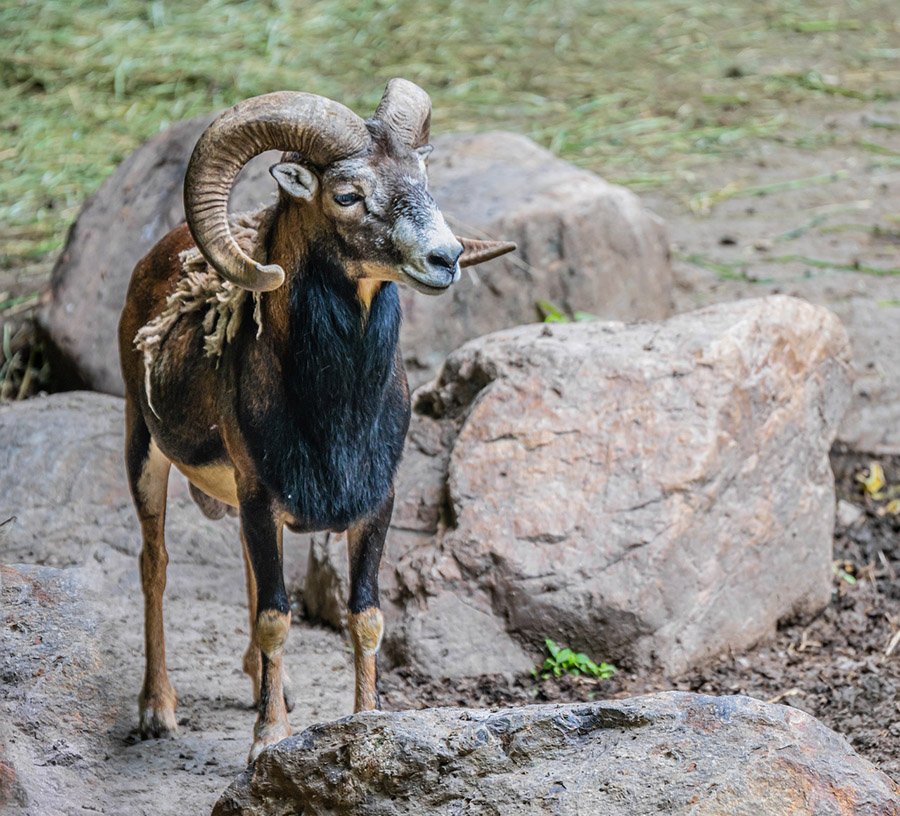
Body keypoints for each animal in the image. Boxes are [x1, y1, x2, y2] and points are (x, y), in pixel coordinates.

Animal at [118, 79, 512, 760]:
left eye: (423, 176)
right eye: (347, 194)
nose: (446, 258)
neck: (334, 416)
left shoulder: (372, 504)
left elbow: (365, 617)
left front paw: (366, 724)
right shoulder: (260, 497)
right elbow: (277, 618)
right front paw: (268, 742)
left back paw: (260, 684)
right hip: (145, 454)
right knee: (155, 566)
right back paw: (157, 710)